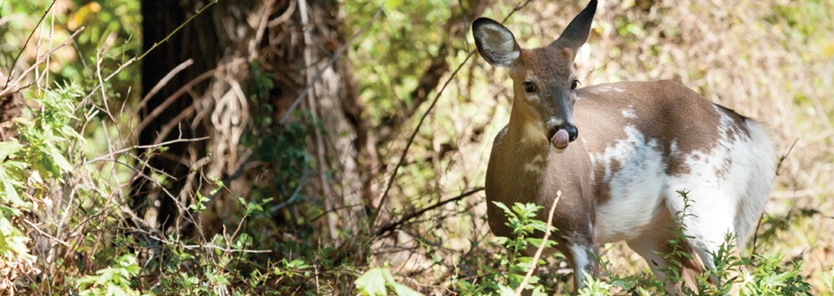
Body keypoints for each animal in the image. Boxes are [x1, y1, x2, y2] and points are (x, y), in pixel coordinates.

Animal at [472, 0, 776, 292]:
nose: (566, 131)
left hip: (707, 202)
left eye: (574, 82)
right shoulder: (515, 240)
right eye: (529, 85)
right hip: (653, 234)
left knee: (738, 278)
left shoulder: (583, 231)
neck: (530, 197)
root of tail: (743, 125)